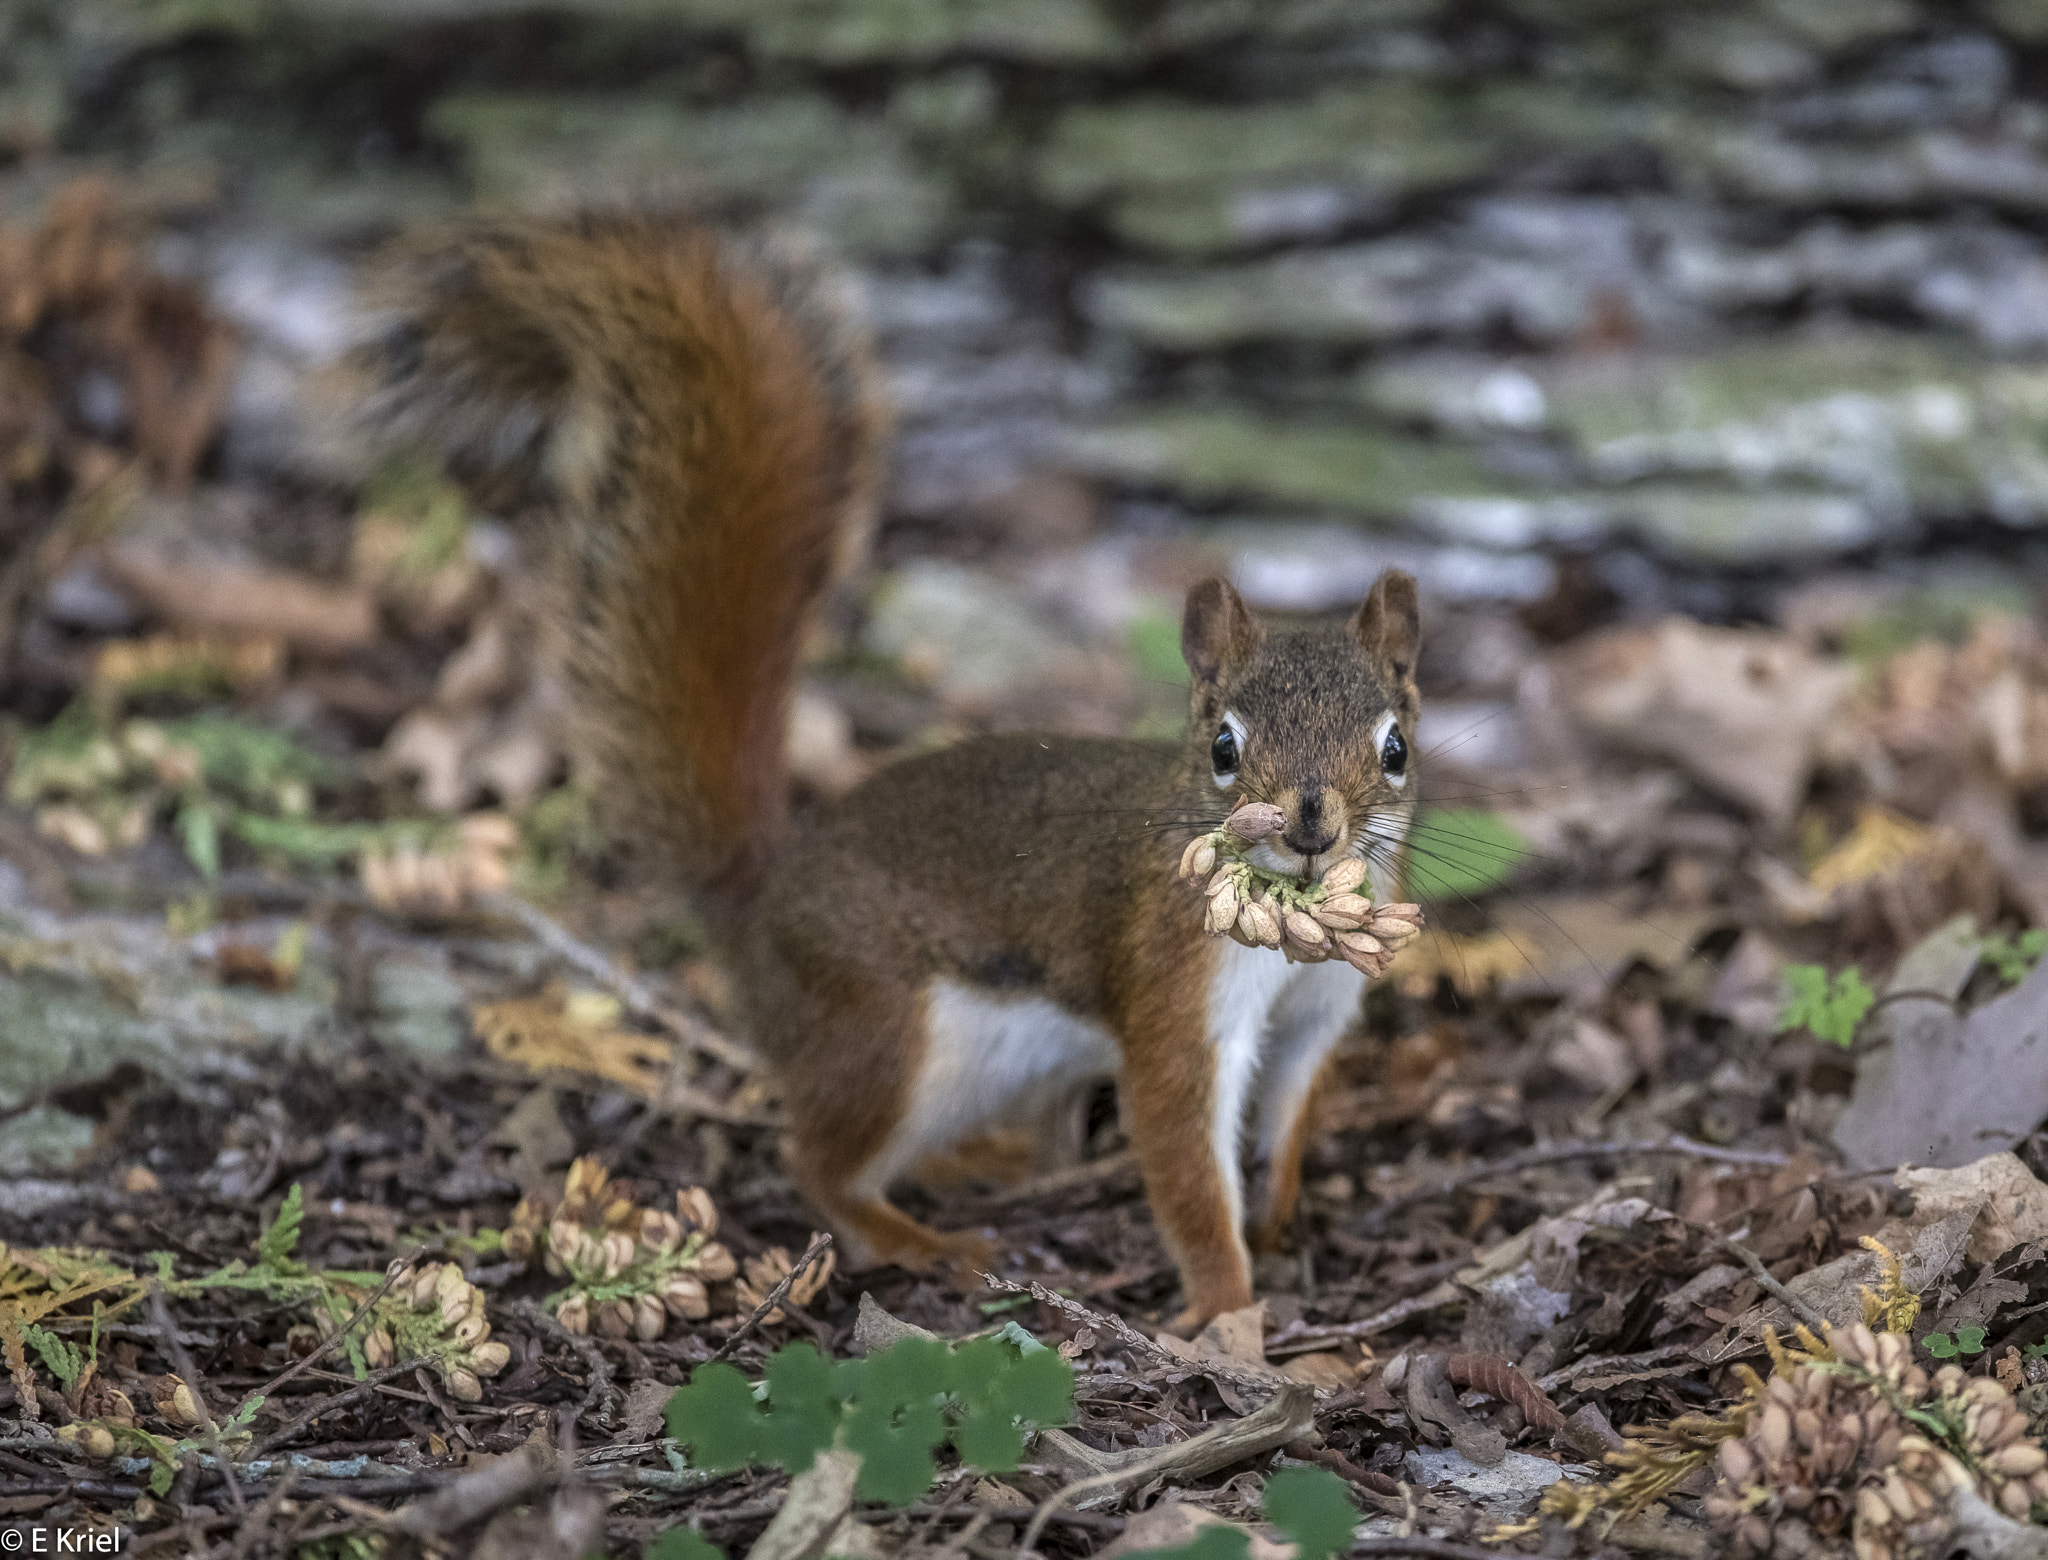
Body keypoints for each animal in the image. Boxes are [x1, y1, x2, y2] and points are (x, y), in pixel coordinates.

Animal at [360, 212, 1417, 1326]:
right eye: (1223, 748)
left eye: (1394, 746)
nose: (1310, 822)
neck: (1295, 940)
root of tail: (758, 907)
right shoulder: (1175, 995)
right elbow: (1182, 1157)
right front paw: (1227, 1310)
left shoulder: (1315, 1022)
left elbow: (1287, 1119)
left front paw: (1280, 1211)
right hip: (893, 1031)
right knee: (822, 1163)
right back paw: (927, 1238)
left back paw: (985, 1166)